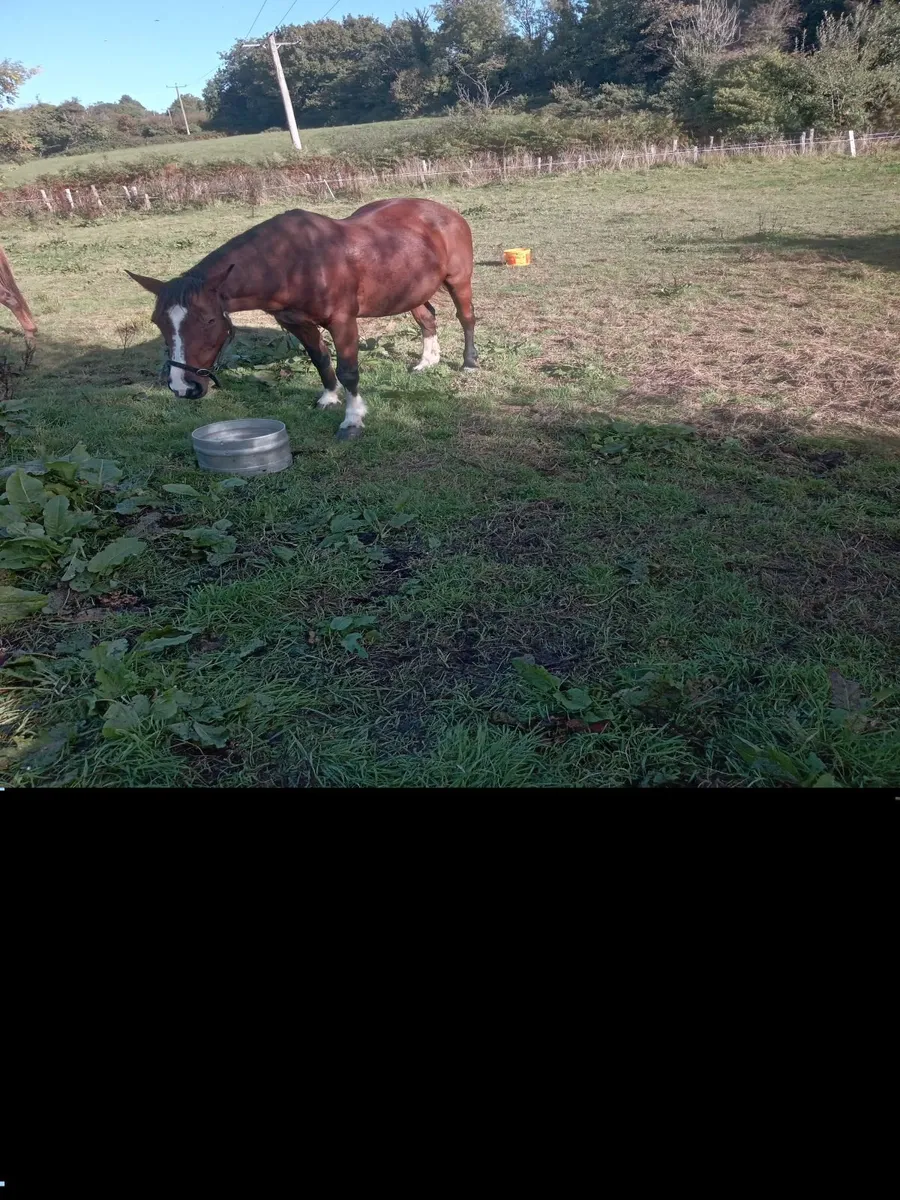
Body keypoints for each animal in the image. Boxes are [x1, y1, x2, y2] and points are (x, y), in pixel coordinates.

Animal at [126, 197, 478, 439]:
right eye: (158, 322)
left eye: (209, 321)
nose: (182, 387)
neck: (292, 262)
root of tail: (446, 212)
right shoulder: (295, 323)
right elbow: (320, 360)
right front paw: (328, 398)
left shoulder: (343, 321)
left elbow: (349, 371)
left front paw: (353, 420)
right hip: (411, 290)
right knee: (427, 319)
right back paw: (427, 361)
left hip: (458, 280)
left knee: (466, 318)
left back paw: (470, 362)